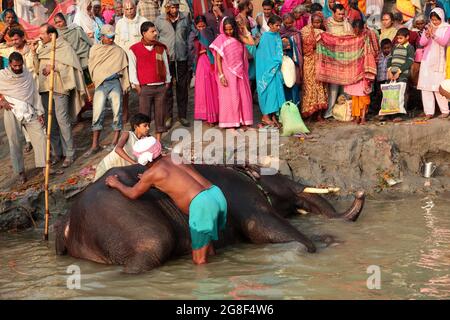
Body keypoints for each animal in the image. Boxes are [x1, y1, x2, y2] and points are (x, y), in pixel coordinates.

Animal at [53, 164, 366, 274]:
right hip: (123, 216)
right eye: (279, 175)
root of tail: (66, 222)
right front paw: (319, 246)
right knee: (153, 245)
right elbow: (260, 228)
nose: (361, 192)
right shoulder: (246, 201)